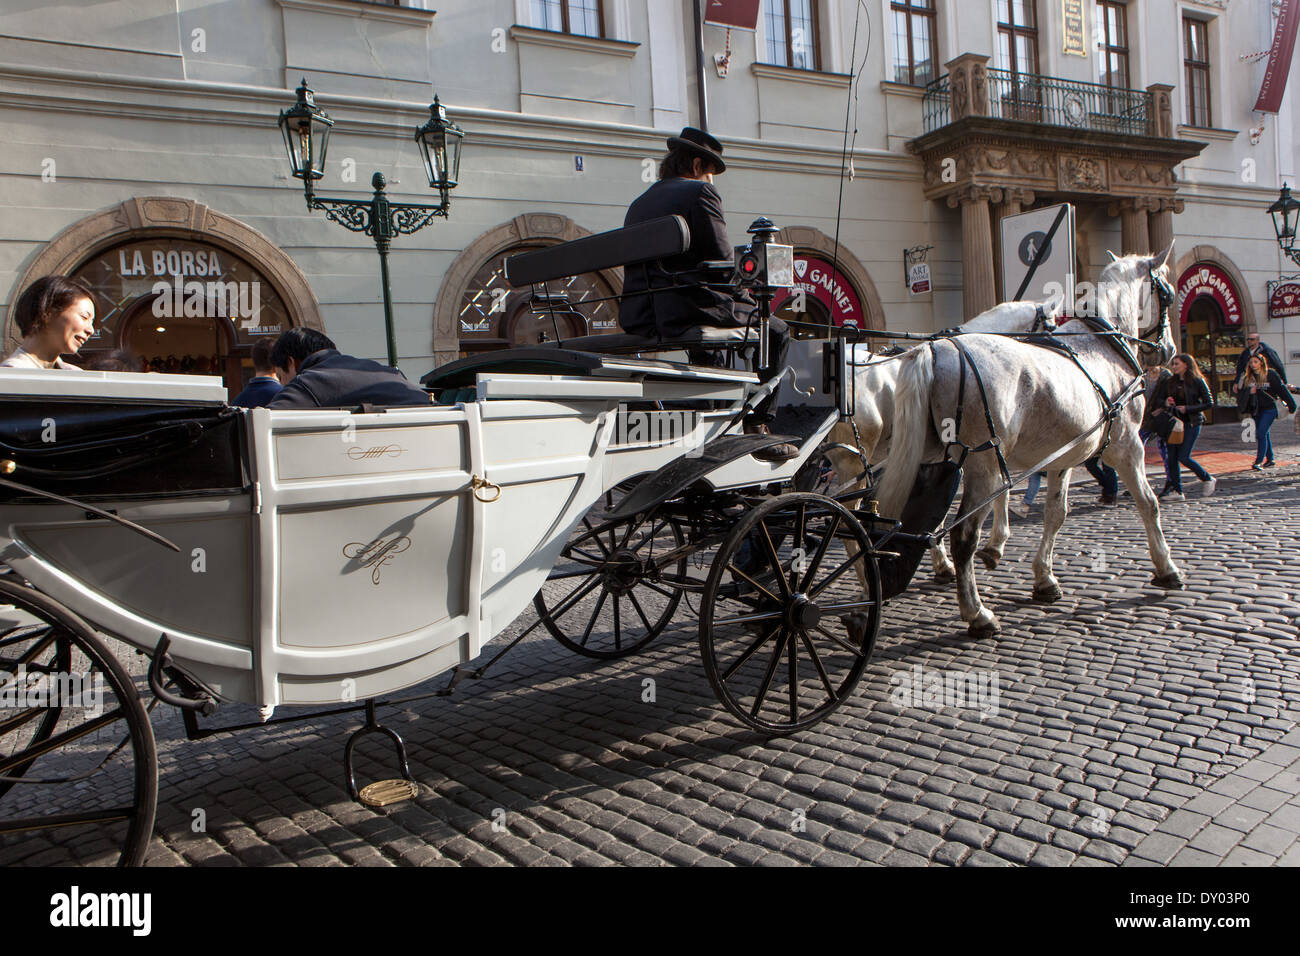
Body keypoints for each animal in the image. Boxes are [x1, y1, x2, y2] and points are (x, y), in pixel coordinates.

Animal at [826, 291, 1060, 580]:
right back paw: (867, 576)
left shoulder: (935, 455)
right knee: (847, 522)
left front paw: (941, 558)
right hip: (854, 460)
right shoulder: (987, 445)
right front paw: (994, 545)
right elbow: (998, 492)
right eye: (1052, 326)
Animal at [873, 247, 1180, 634]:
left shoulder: (1062, 457)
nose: (1168, 350)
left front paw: (1043, 578)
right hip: (982, 463)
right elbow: (1148, 503)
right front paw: (1166, 567)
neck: (1102, 345)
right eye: (1167, 292)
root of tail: (937, 350)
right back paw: (977, 612)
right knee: (963, 536)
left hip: (928, 458)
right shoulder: (1127, 448)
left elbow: (1055, 514)